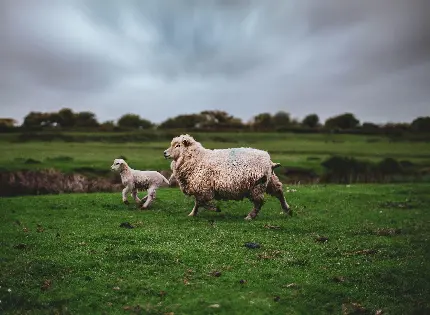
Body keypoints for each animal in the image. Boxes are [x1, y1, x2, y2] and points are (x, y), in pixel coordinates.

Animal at [162, 135, 292, 221]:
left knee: (259, 203)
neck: (196, 158)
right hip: (270, 181)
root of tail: (269, 161)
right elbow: (197, 203)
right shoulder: (200, 189)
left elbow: (201, 202)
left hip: (257, 186)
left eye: (178, 145)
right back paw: (287, 210)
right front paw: (192, 214)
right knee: (279, 192)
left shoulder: (203, 188)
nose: (164, 153)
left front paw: (215, 208)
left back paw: (250, 216)